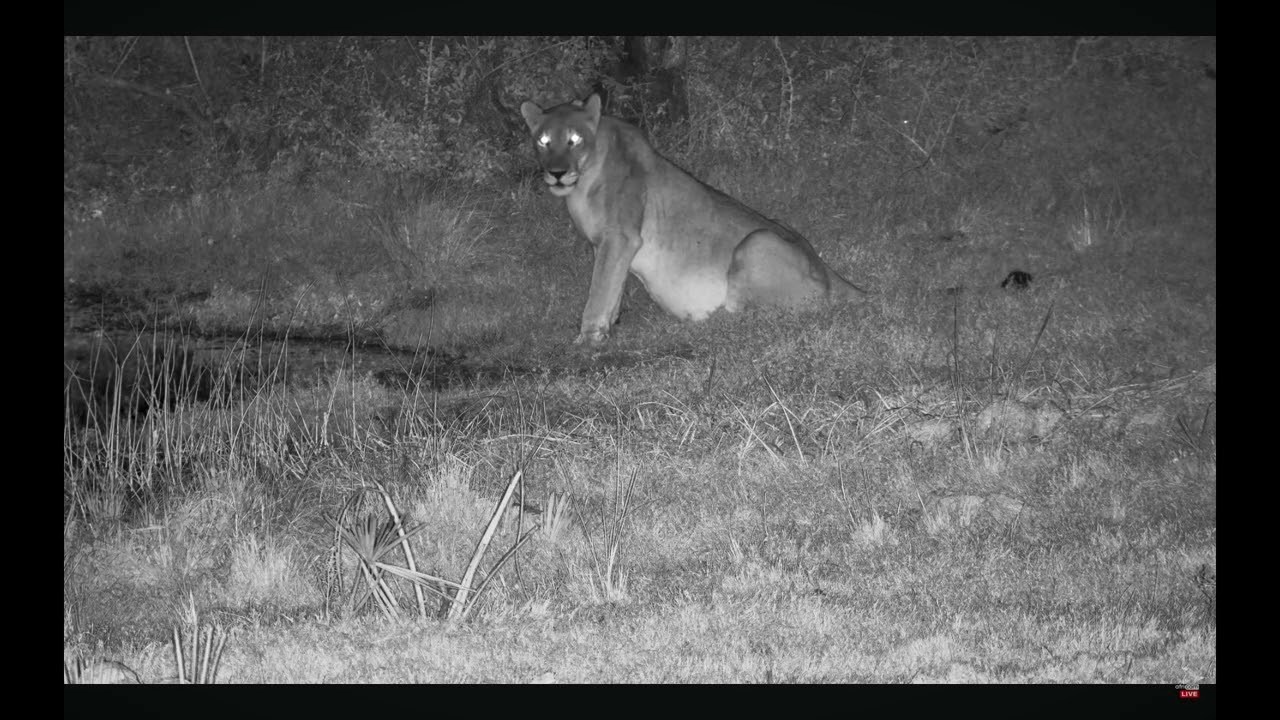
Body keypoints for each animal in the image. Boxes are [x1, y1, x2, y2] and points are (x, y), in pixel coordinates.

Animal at [520, 94, 866, 344]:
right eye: (543, 141)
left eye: (574, 140)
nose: (557, 173)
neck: (581, 185)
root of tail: (829, 272)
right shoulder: (604, 245)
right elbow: (611, 286)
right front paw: (609, 326)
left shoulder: (621, 237)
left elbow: (599, 290)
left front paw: (587, 339)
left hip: (758, 240)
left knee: (750, 316)